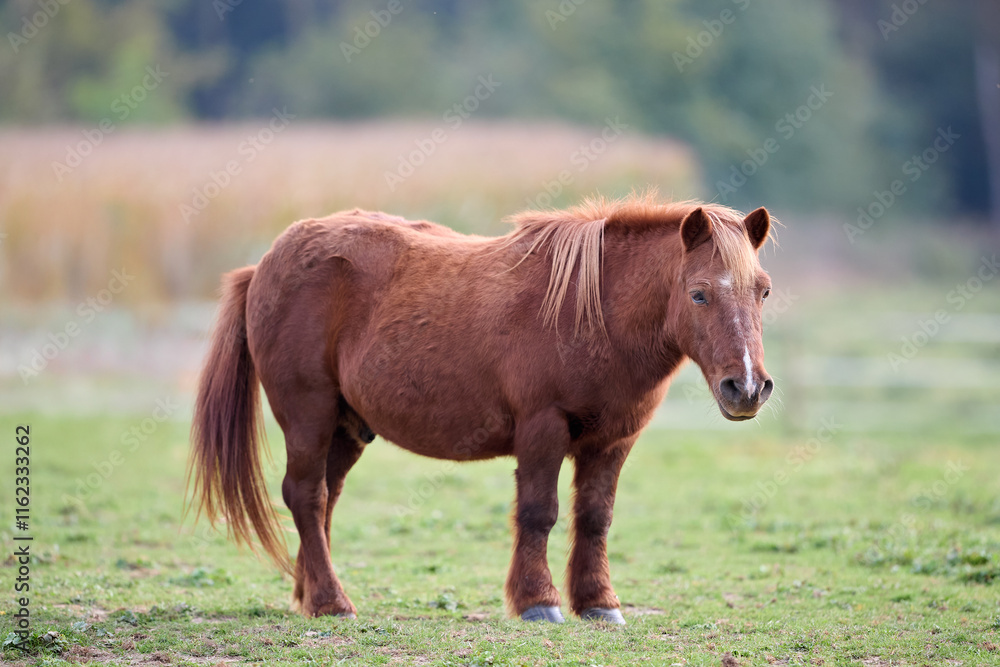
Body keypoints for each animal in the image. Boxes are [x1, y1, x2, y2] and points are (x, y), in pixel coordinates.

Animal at [188, 194, 774, 625]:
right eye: (699, 294)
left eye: (763, 291)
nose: (745, 387)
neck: (592, 310)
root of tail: (264, 264)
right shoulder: (543, 429)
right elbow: (539, 513)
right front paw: (539, 602)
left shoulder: (613, 441)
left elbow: (595, 517)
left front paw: (598, 604)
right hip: (307, 415)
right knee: (305, 497)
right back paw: (333, 602)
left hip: (345, 429)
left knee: (324, 500)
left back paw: (311, 595)